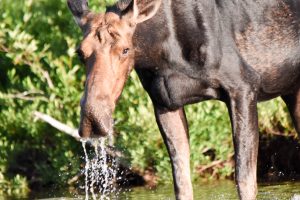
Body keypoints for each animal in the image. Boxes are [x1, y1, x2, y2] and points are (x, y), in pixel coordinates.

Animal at [67, 0, 298, 199]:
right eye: (80, 52)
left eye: (125, 49)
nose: (93, 119)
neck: (160, 52)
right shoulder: (164, 102)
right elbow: (181, 182)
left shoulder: (243, 88)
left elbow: (245, 180)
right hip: (293, 91)